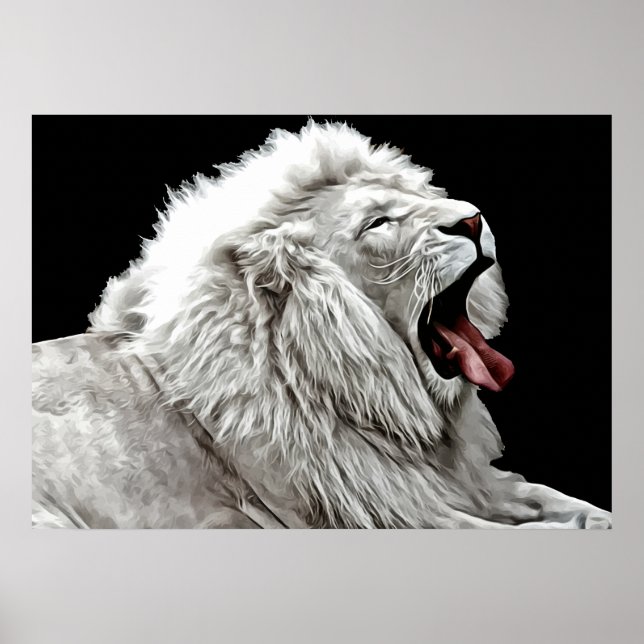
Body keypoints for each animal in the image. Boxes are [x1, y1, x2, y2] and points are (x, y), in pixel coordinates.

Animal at [32, 121, 611, 528]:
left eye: (419, 197)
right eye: (377, 222)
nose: (472, 219)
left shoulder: (464, 484)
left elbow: (548, 498)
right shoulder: (389, 512)